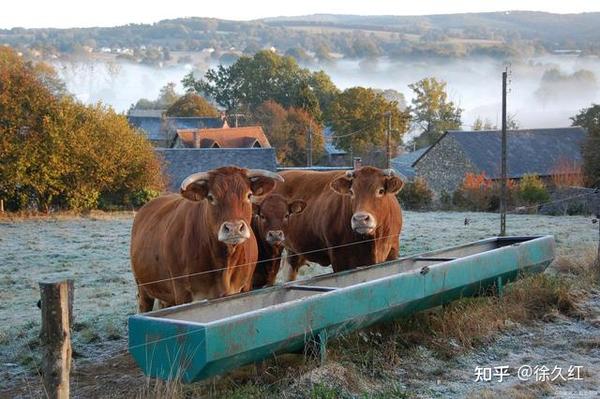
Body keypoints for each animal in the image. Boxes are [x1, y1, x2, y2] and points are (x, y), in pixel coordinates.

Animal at [129, 166, 284, 312]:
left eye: (249, 195)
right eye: (211, 197)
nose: (233, 228)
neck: (225, 263)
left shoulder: (246, 287)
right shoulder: (182, 293)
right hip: (143, 288)